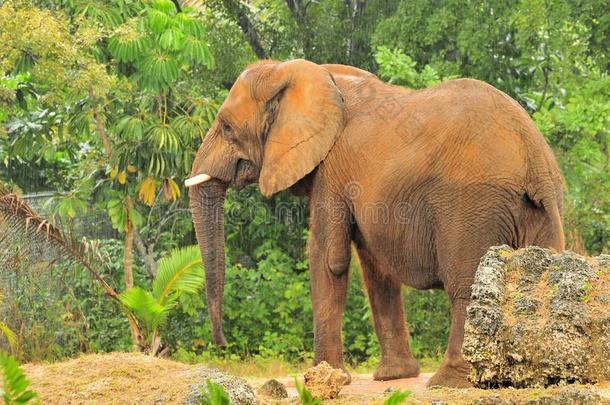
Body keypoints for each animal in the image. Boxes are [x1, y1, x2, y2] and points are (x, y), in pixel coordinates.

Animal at [184, 59, 560, 386]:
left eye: (227, 127)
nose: (221, 343)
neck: (298, 72)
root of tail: (532, 156)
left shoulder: (331, 169)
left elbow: (328, 259)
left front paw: (324, 377)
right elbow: (376, 269)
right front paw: (393, 377)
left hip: (470, 206)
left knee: (466, 284)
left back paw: (450, 382)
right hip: (541, 207)